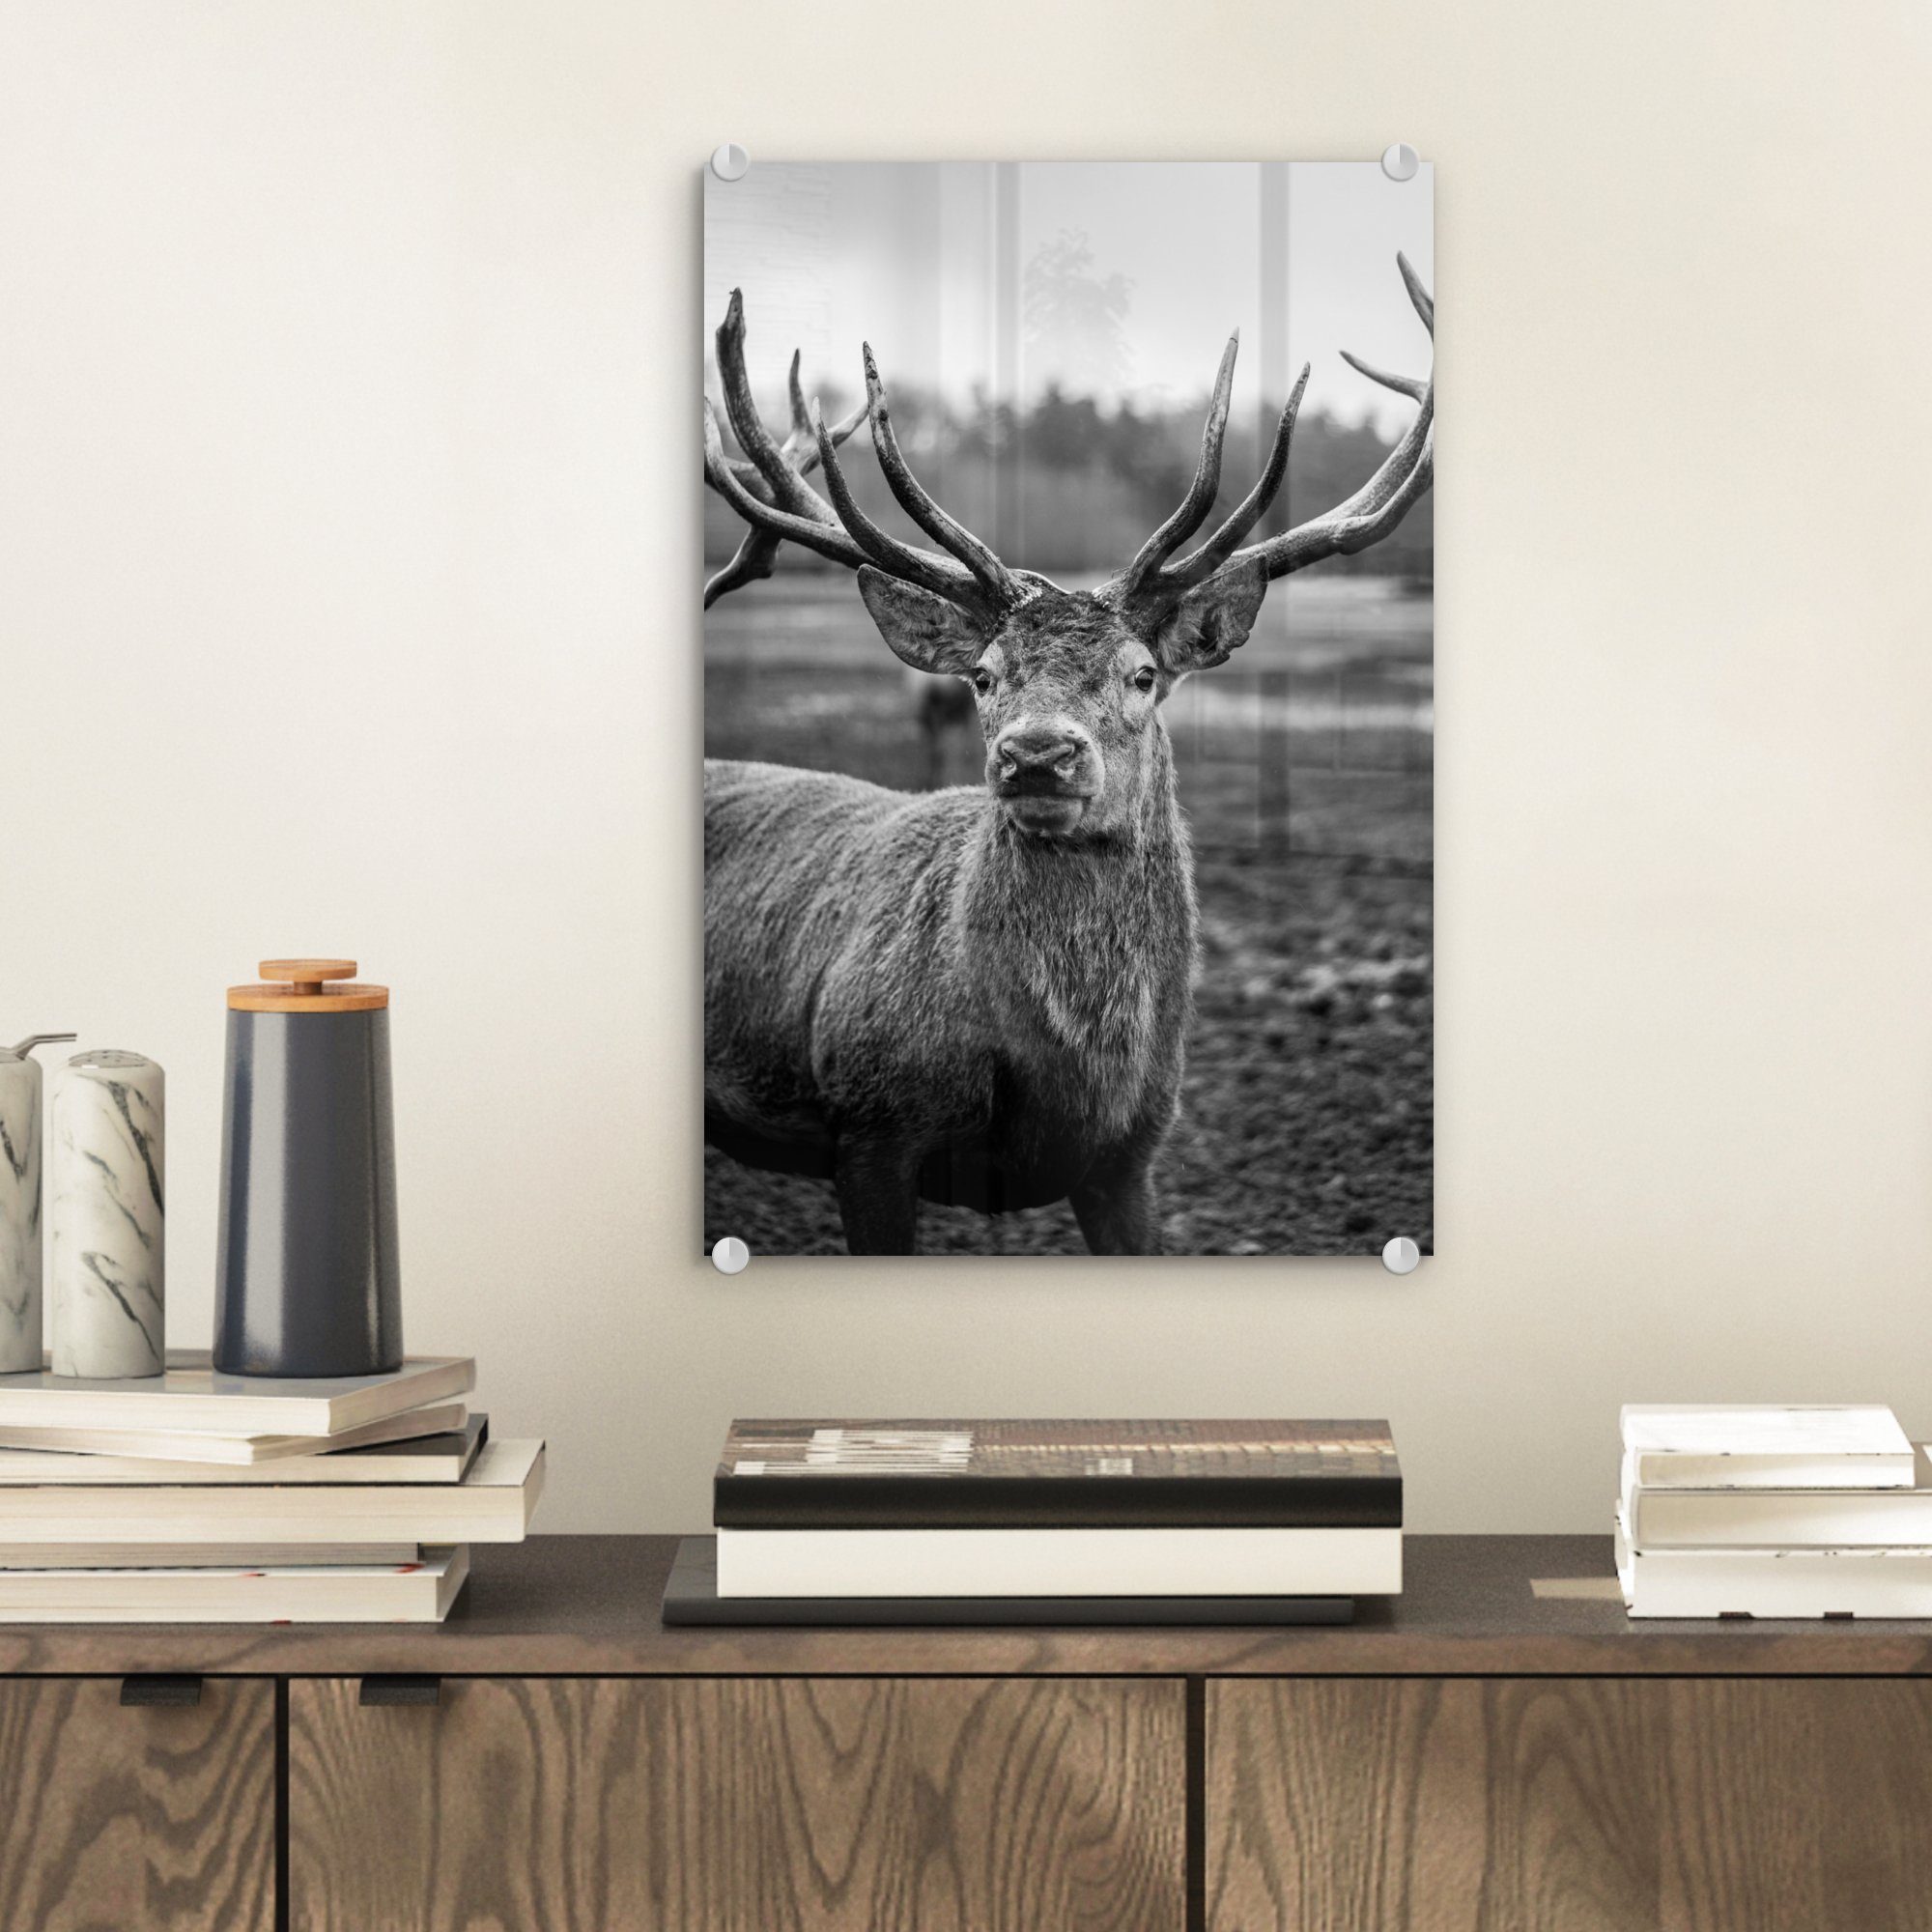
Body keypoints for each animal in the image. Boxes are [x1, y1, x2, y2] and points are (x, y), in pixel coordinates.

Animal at [701, 260, 1433, 1255]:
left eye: (1142, 673)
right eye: (982, 673)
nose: (1037, 754)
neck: (1069, 1082)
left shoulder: (1133, 1154)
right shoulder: (870, 1124)